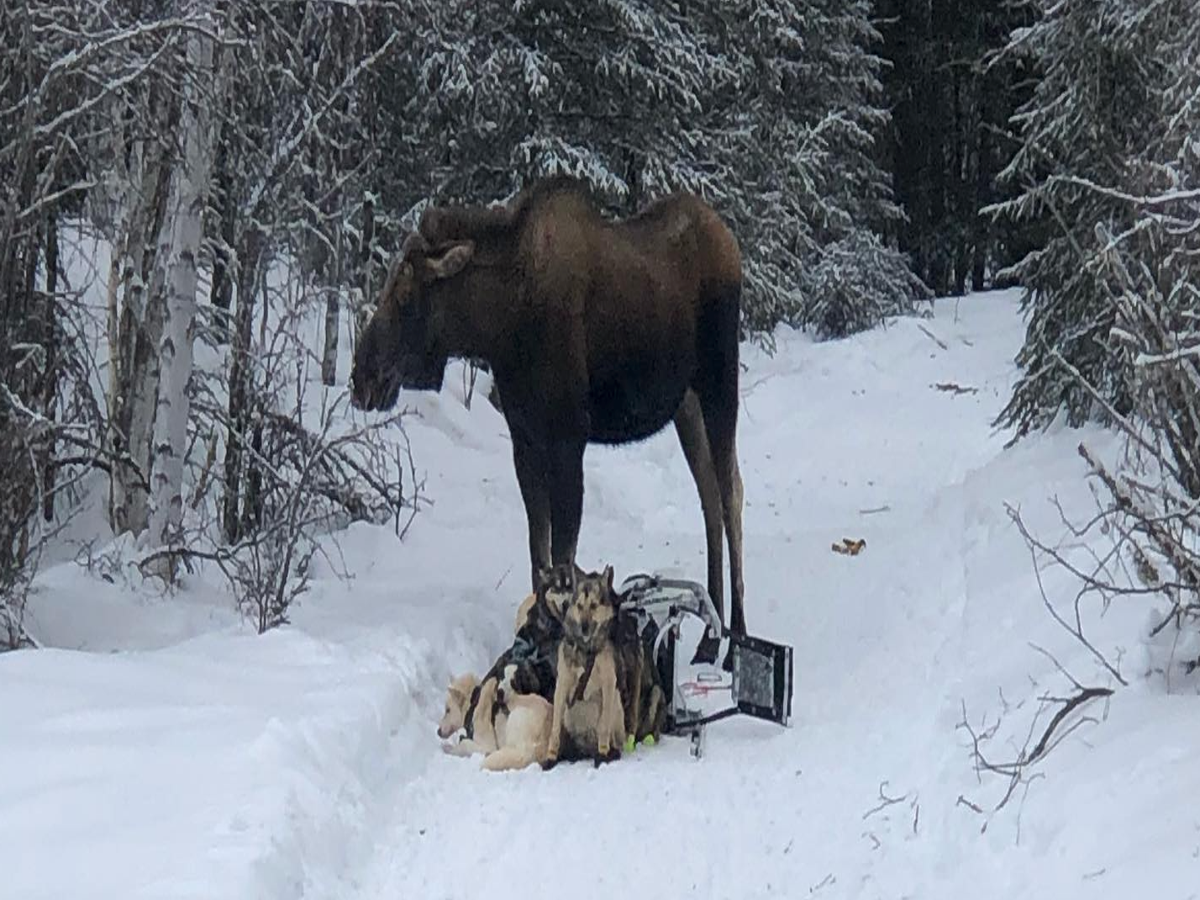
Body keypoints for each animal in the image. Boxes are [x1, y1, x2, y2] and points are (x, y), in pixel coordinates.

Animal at [348, 177, 744, 657]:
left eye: (406, 295)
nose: (362, 377)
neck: (500, 325)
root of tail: (729, 240)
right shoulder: (526, 440)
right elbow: (539, 554)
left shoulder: (568, 440)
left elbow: (562, 559)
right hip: (686, 406)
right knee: (709, 498)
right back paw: (709, 637)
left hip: (719, 385)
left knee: (731, 496)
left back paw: (736, 640)